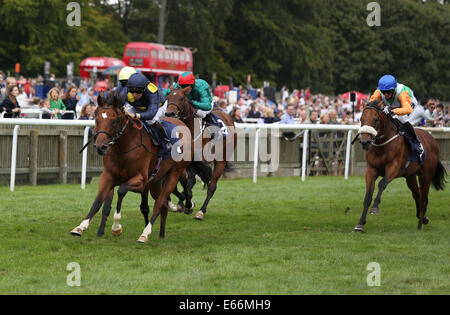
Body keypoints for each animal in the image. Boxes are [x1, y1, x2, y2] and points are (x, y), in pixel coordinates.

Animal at [164, 87, 236, 222]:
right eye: (168, 97)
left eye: (181, 98)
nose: (169, 113)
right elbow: (180, 183)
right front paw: (184, 203)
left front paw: (188, 203)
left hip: (221, 160)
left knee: (212, 186)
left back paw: (201, 212)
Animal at [356, 100, 446, 232]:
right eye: (361, 119)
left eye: (376, 119)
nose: (365, 141)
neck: (382, 145)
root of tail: (432, 139)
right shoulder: (371, 170)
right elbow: (368, 195)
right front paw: (360, 224)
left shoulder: (393, 167)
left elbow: (382, 183)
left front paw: (375, 207)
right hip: (410, 176)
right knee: (417, 195)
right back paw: (423, 217)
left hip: (426, 176)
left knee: (423, 197)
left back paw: (420, 224)